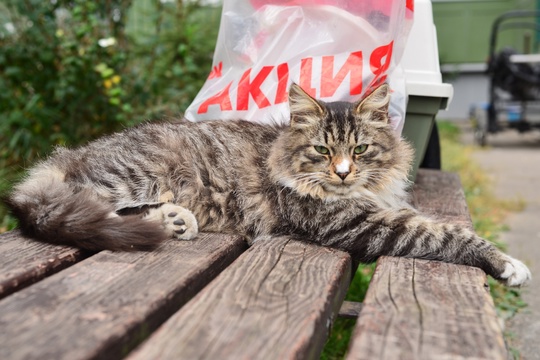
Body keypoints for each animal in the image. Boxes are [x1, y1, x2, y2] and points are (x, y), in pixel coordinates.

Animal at [6, 83, 532, 286]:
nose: (343, 172)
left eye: (360, 150)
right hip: (134, 175)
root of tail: (69, 154)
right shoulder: (360, 223)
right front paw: (508, 264)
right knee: (84, 207)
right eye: (322, 151)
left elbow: (435, 220)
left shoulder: (381, 205)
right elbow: (446, 234)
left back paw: (176, 221)